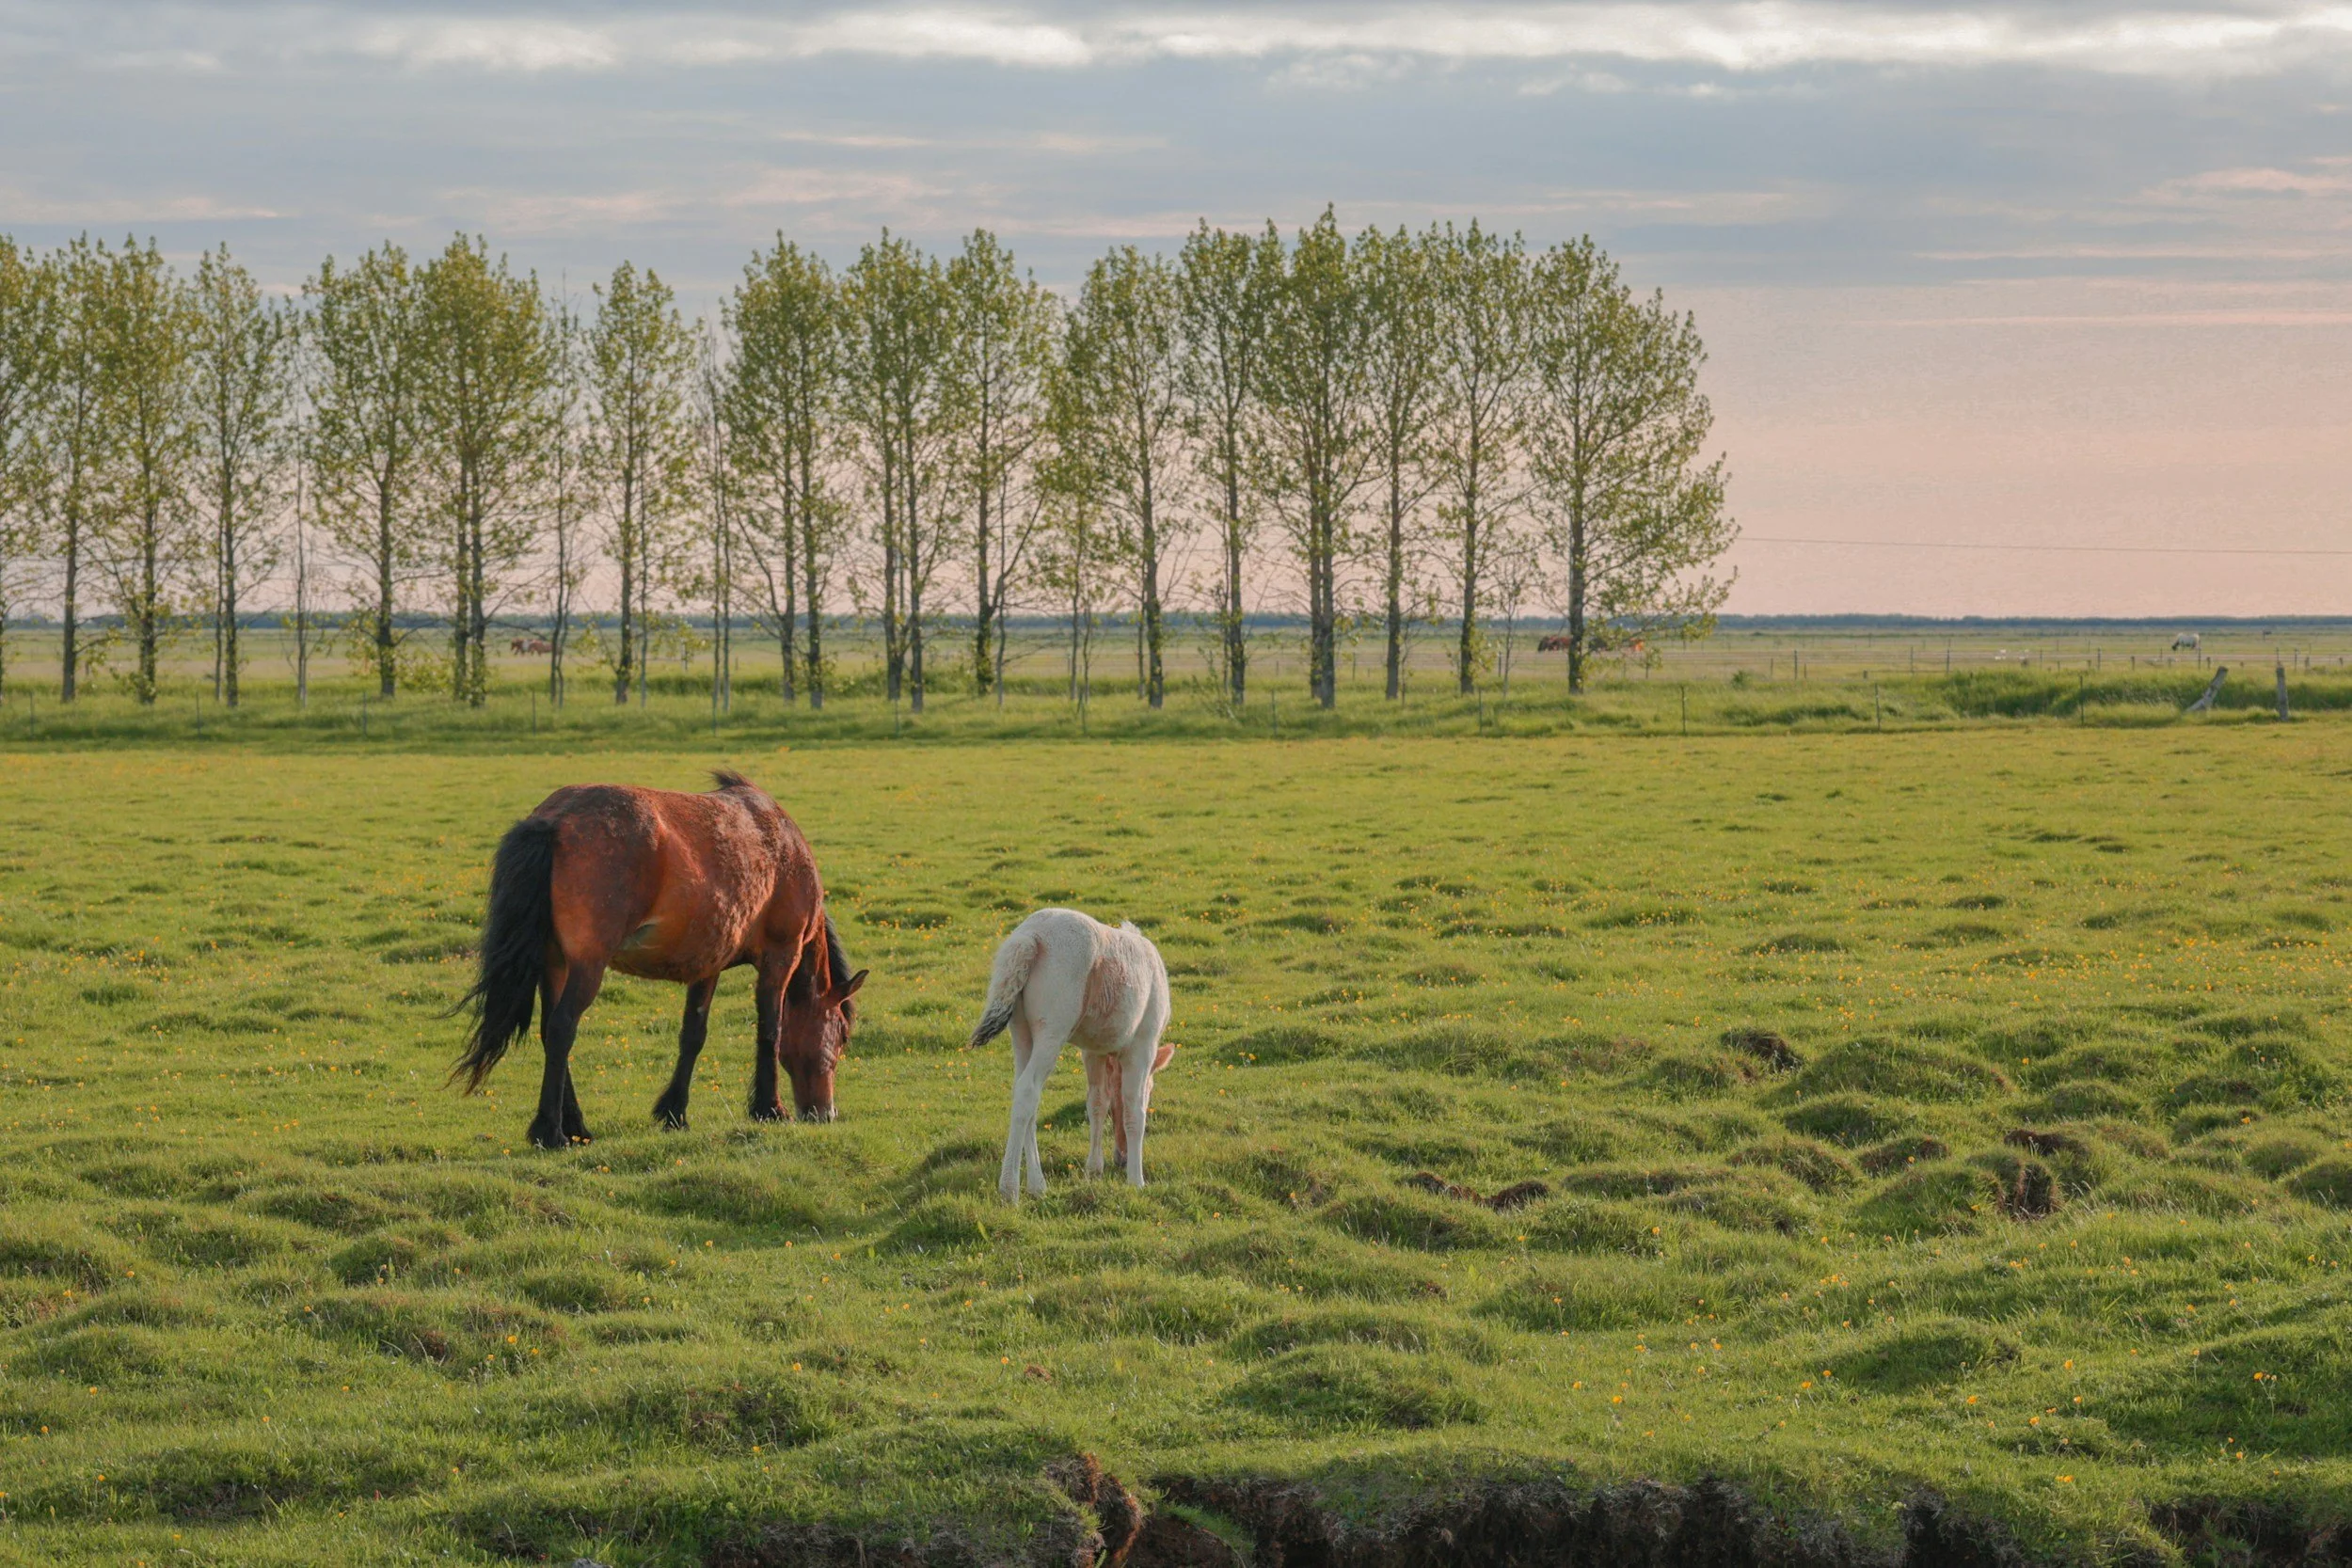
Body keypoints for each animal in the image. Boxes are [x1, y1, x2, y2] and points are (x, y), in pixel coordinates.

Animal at [451, 770, 867, 1149]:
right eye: (843, 1035)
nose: (824, 1114)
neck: (784, 846)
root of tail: (552, 820)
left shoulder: (707, 965)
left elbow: (693, 1036)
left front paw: (675, 1112)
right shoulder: (780, 957)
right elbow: (770, 1031)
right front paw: (769, 1109)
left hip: (555, 964)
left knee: (547, 1029)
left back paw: (576, 1126)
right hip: (587, 966)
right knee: (561, 1029)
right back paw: (552, 1133)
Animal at [971, 908, 1172, 1203]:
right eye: (1152, 1088)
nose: (1121, 1158)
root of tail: (1030, 936)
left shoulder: (1092, 1051)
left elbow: (1097, 1103)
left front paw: (1094, 1169)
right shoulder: (1142, 1046)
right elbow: (1135, 1109)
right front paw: (1136, 1180)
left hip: (1021, 1032)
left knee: (1025, 1096)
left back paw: (1037, 1185)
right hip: (1052, 1031)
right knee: (1028, 1090)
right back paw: (1009, 1189)